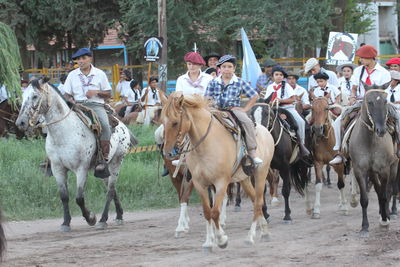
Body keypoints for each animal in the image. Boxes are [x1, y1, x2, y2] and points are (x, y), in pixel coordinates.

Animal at [15, 79, 138, 232]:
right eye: (23, 96)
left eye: (35, 96)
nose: (20, 122)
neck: (65, 132)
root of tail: (122, 124)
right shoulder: (58, 169)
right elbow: (64, 196)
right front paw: (65, 223)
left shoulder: (81, 169)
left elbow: (79, 198)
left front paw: (91, 218)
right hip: (104, 169)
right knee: (112, 189)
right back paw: (119, 215)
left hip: (116, 162)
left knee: (110, 191)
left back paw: (103, 220)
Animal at [162, 92, 276, 251]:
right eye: (162, 121)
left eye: (175, 122)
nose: (167, 153)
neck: (206, 145)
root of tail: (265, 130)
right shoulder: (199, 183)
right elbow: (207, 211)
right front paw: (208, 243)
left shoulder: (221, 182)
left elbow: (215, 212)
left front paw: (221, 239)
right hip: (244, 178)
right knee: (255, 201)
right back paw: (264, 232)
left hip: (261, 173)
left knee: (259, 202)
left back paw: (250, 238)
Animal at [348, 89, 398, 239]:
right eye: (369, 102)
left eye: (385, 101)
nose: (381, 130)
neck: (370, 141)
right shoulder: (360, 170)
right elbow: (364, 199)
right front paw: (364, 227)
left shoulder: (384, 170)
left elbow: (385, 194)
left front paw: (385, 221)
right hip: (372, 172)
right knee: (378, 189)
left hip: (394, 166)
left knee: (390, 190)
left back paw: (390, 212)